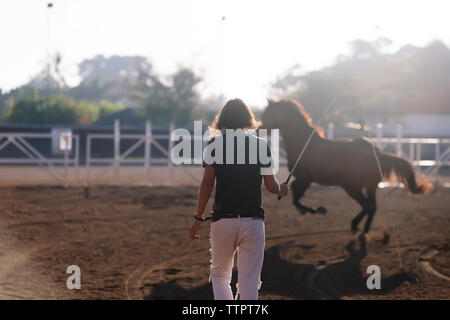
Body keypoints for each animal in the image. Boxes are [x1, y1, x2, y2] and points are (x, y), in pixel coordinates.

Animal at [262, 99, 430, 234]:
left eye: (269, 113)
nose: (260, 128)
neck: (303, 144)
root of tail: (377, 153)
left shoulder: (305, 179)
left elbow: (296, 198)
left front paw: (316, 210)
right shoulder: (303, 179)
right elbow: (295, 197)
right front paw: (311, 210)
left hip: (352, 187)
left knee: (367, 206)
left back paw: (356, 226)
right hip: (370, 186)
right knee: (372, 207)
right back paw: (365, 228)